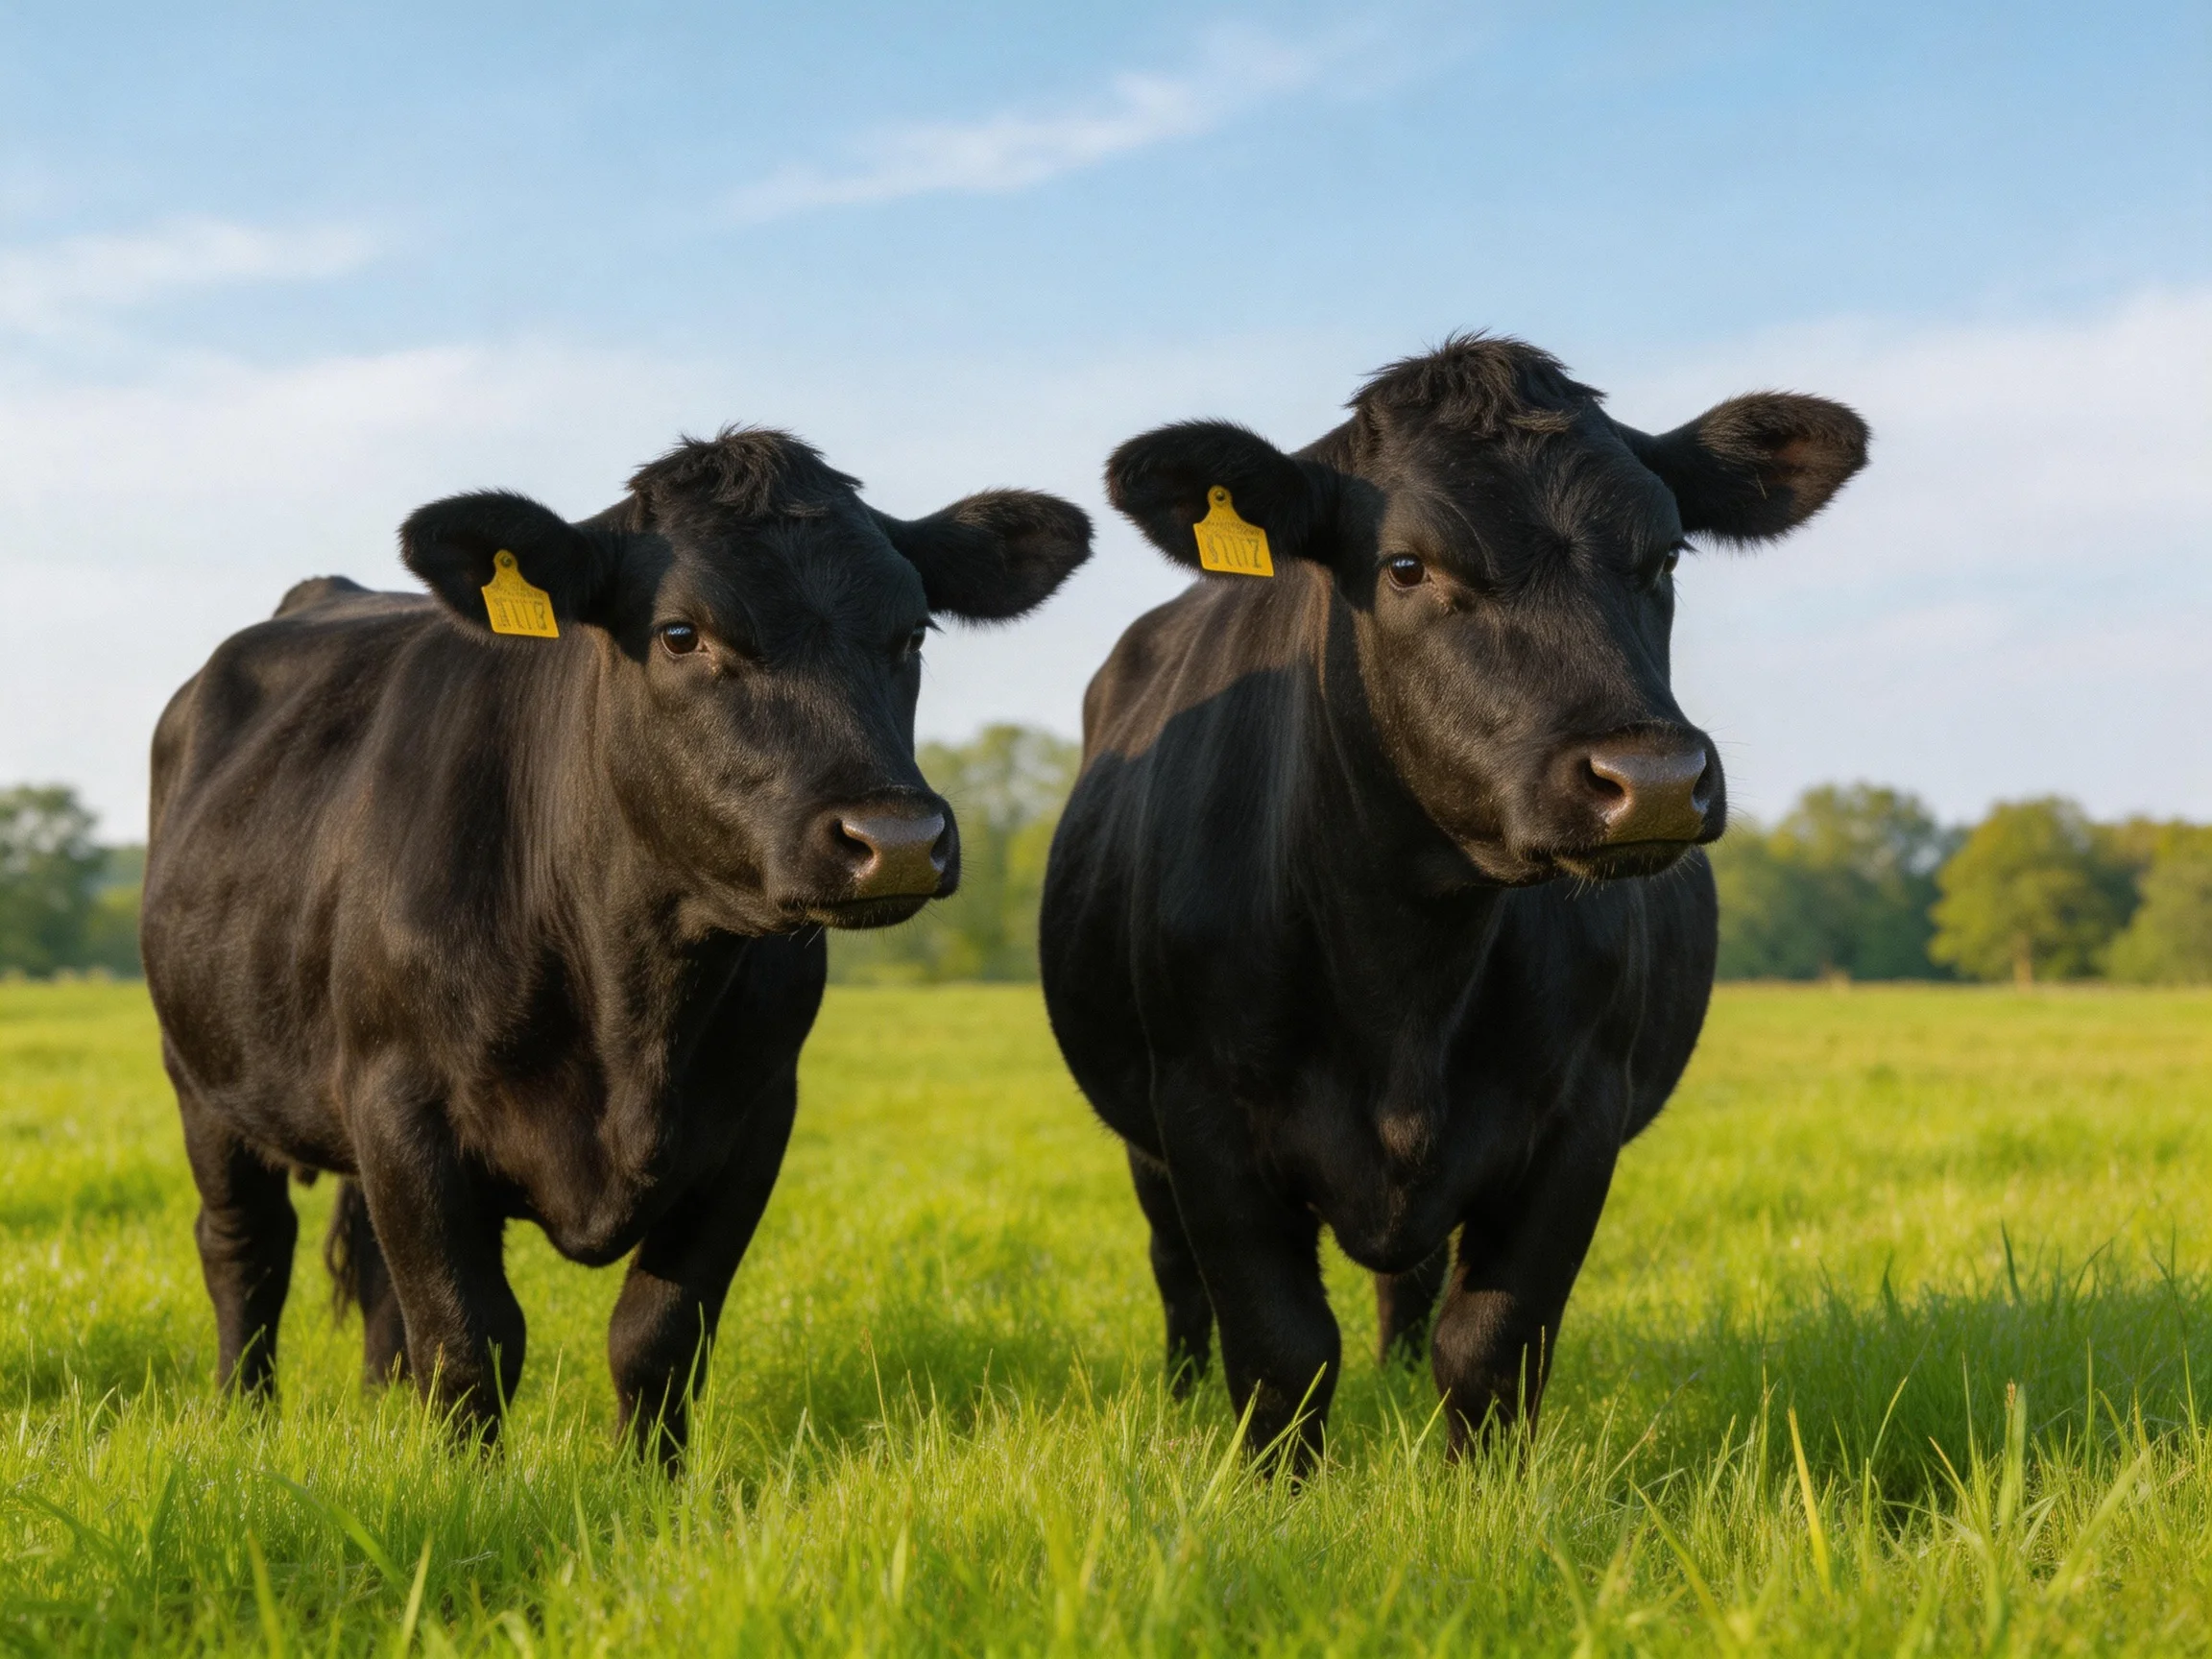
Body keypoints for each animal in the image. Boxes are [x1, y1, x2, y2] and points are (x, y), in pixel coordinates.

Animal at [141, 427, 1090, 1461]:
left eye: (914, 633)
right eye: (680, 633)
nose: (898, 839)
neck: (632, 1001)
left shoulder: (754, 1116)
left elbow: (657, 1332)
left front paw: (647, 1482)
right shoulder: (400, 1101)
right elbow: (470, 1338)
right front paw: (462, 1489)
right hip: (201, 1077)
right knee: (245, 1250)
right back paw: (242, 1416)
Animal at [1039, 337, 1867, 1466]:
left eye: (1665, 558)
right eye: (1405, 566)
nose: (1652, 777)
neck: (1407, 975)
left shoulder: (1580, 1112)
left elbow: (1491, 1343)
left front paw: (1486, 1493)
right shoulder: (1203, 1112)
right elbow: (1282, 1349)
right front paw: (1268, 1493)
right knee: (1177, 1278)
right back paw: (1179, 1399)